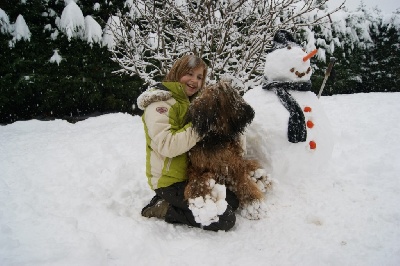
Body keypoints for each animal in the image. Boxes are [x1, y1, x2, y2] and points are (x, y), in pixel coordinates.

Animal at [184, 80, 268, 212]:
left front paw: (253, 200)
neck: (216, 136)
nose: (251, 112)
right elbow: (196, 179)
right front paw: (200, 199)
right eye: (231, 98)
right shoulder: (196, 165)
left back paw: (258, 175)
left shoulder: (231, 162)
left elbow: (241, 176)